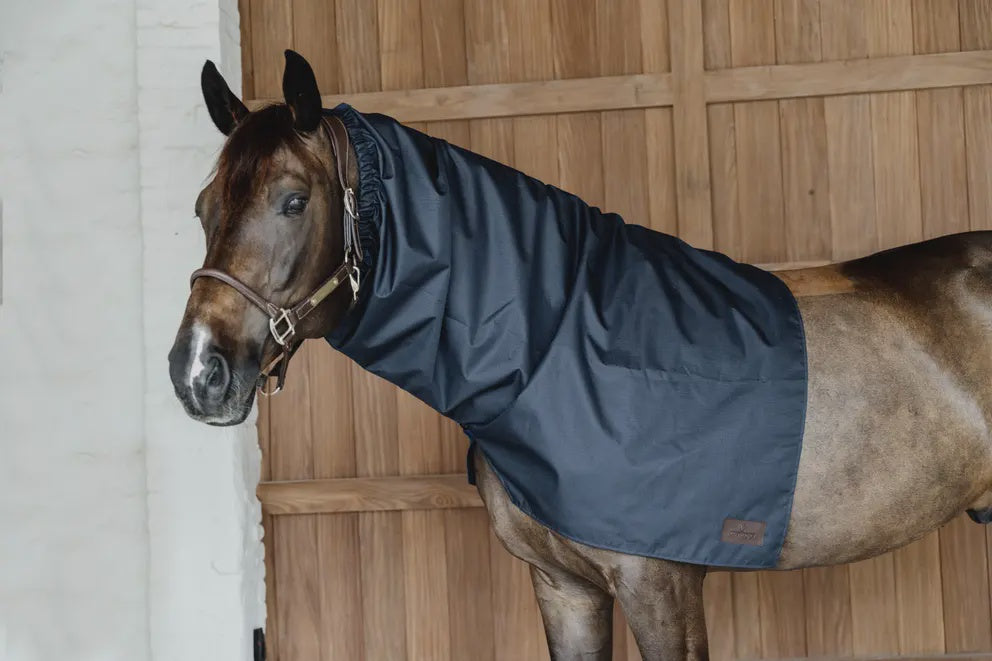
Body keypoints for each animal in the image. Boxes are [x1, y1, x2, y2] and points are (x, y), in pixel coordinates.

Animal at [169, 51, 992, 661]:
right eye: (205, 207)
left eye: (294, 200)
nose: (198, 372)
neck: (555, 341)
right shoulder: (564, 589)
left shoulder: (660, 588)